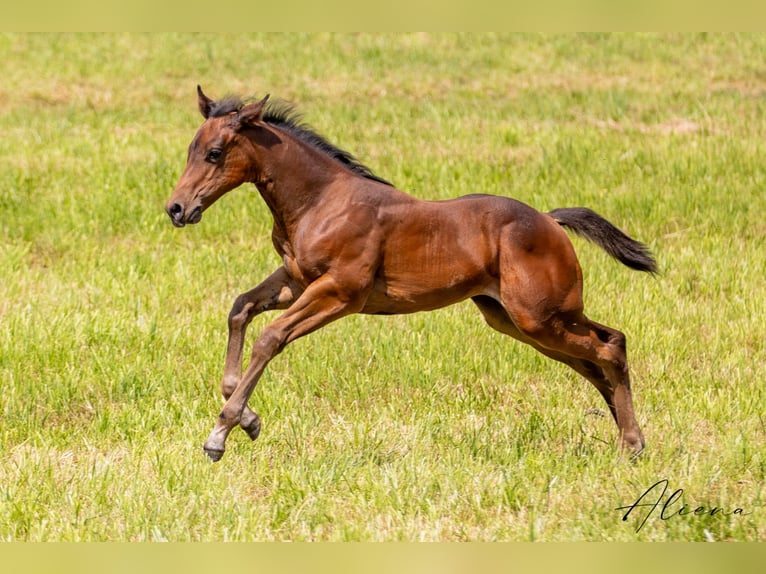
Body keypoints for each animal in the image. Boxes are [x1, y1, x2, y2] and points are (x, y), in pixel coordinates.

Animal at [165, 86, 657, 462]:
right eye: (190, 149)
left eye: (214, 153)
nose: (176, 208)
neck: (321, 201)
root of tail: (551, 222)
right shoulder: (297, 280)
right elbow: (240, 309)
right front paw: (247, 417)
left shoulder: (340, 293)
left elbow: (270, 337)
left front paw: (221, 433)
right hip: (520, 319)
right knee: (600, 356)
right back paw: (628, 440)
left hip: (540, 317)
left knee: (609, 349)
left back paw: (632, 444)